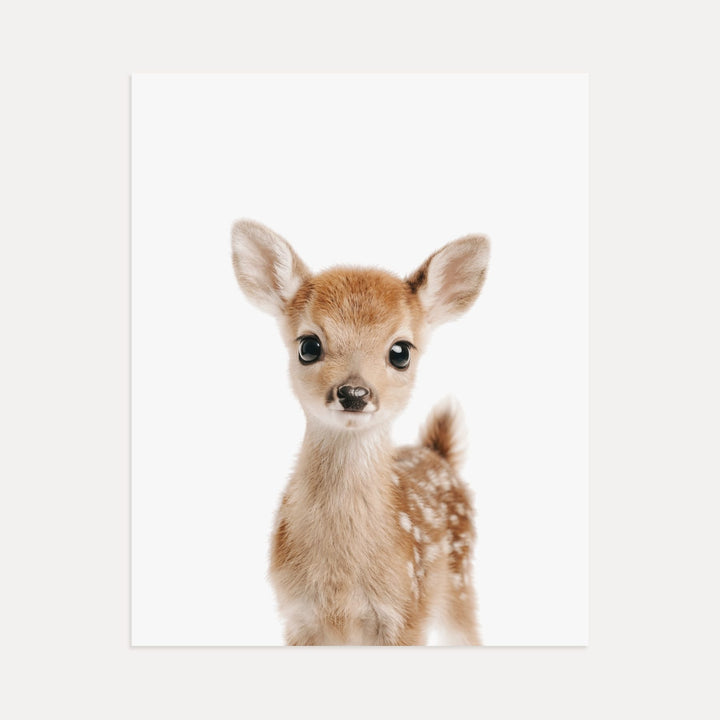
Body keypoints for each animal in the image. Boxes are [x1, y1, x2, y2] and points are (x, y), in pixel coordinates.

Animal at [231, 219, 490, 645]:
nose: (354, 393)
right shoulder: (296, 616)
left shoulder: (407, 613)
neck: (341, 584)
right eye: (309, 345)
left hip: (460, 581)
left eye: (401, 352)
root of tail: (438, 453)